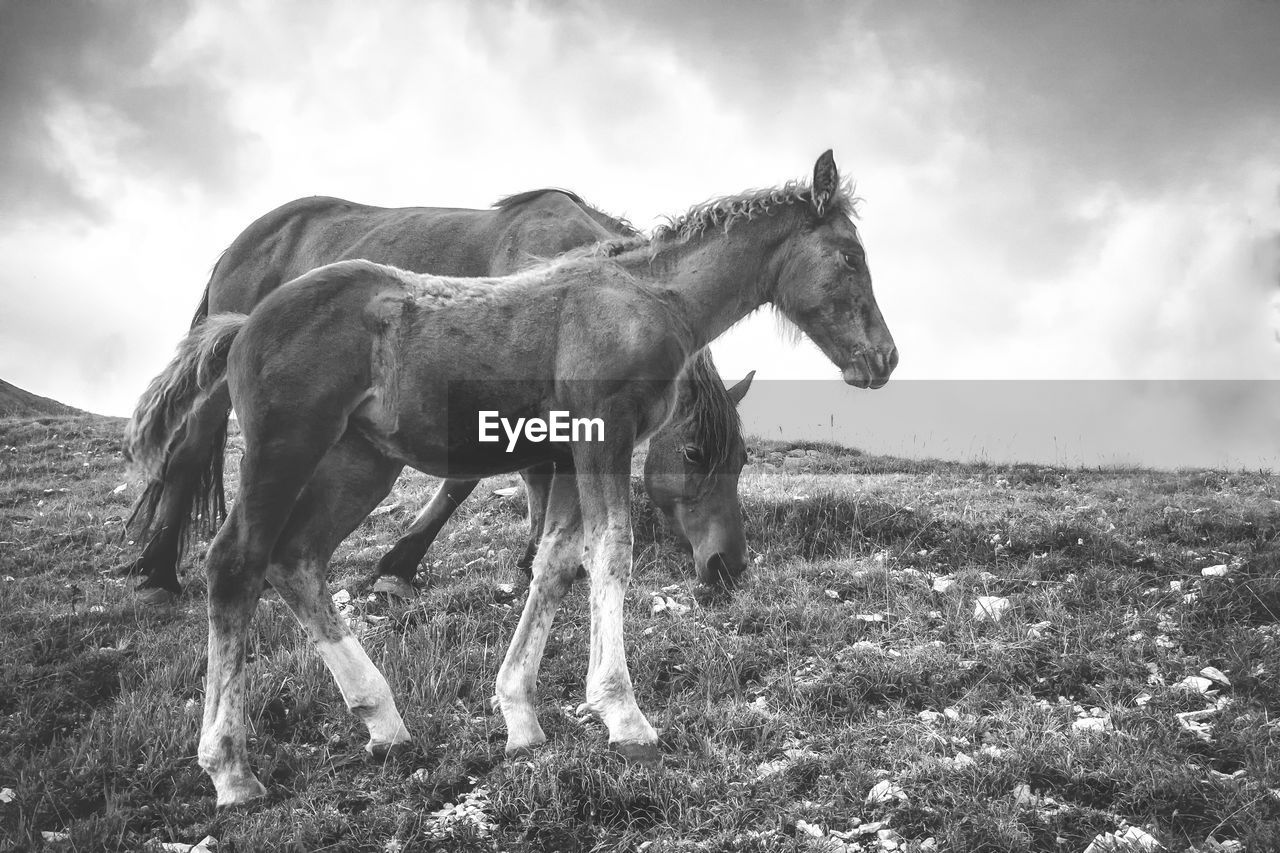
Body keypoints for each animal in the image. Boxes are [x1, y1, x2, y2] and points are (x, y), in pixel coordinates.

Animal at [122, 189, 747, 601]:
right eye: (694, 454)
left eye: (740, 461)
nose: (726, 567)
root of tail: (246, 238)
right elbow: (474, 479)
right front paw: (400, 566)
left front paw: (532, 559)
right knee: (187, 456)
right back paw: (157, 573)